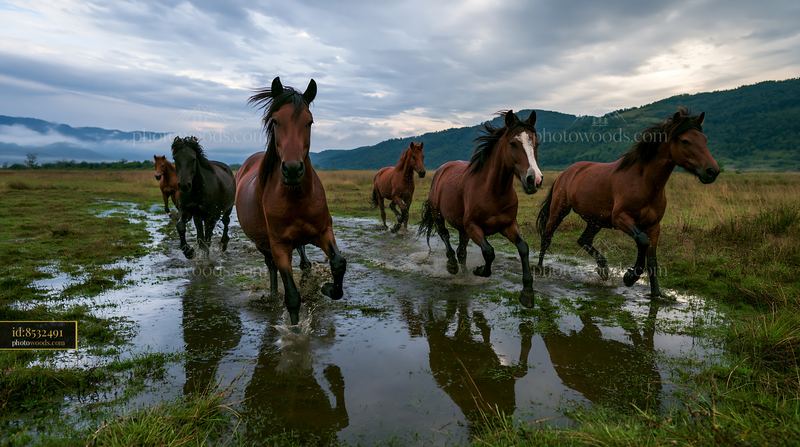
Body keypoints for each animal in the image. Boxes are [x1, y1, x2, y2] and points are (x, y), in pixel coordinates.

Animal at [236, 76, 346, 325]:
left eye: (309, 122)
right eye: (276, 121)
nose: (293, 169)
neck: (296, 197)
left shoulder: (324, 231)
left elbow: (338, 263)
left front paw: (327, 289)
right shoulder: (279, 246)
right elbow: (293, 297)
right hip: (263, 244)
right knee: (271, 268)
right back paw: (273, 295)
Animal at [419, 110, 543, 307]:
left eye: (536, 143)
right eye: (513, 143)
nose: (534, 180)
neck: (493, 191)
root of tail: (442, 168)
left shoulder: (508, 225)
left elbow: (523, 248)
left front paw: (527, 293)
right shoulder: (474, 227)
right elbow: (489, 252)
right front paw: (480, 270)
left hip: (462, 227)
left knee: (462, 251)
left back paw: (463, 274)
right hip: (439, 216)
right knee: (445, 236)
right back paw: (452, 266)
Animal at [536, 108, 719, 298]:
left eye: (704, 139)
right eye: (685, 141)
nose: (712, 171)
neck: (643, 182)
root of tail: (564, 173)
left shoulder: (654, 226)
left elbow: (652, 260)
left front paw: (656, 294)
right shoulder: (621, 219)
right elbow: (642, 241)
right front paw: (630, 277)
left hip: (596, 220)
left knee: (583, 240)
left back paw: (603, 270)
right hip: (559, 211)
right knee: (547, 236)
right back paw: (540, 270)